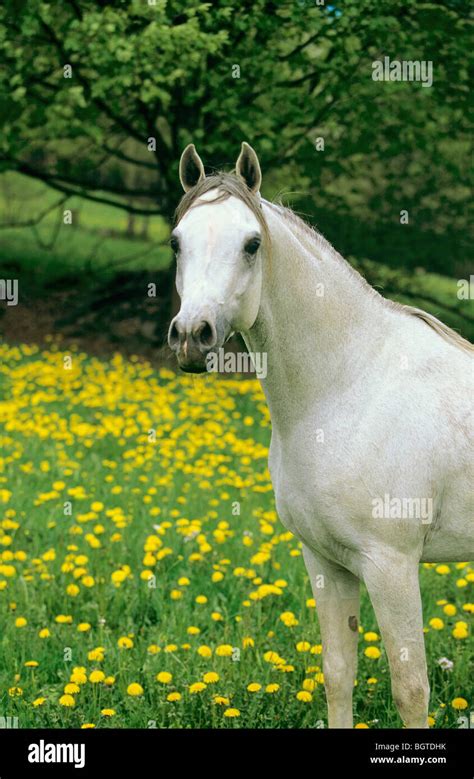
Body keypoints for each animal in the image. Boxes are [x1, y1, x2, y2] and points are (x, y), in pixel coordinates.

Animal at [168, 142, 472, 732]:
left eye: (252, 243)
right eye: (177, 241)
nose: (193, 336)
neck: (350, 384)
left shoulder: (392, 566)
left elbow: (411, 689)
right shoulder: (326, 562)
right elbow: (337, 673)